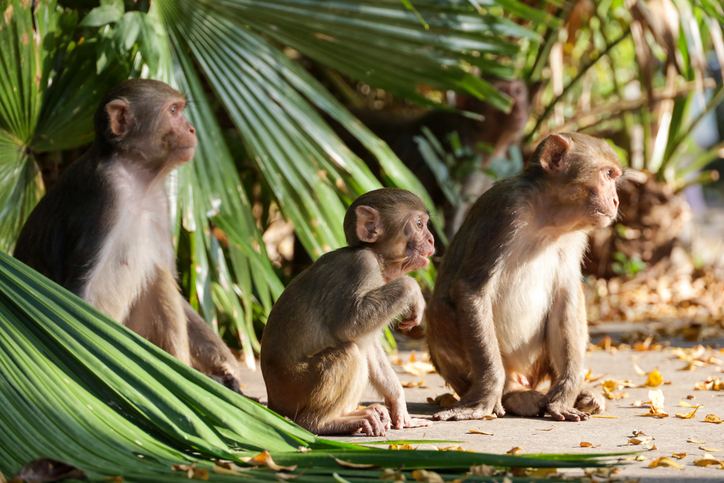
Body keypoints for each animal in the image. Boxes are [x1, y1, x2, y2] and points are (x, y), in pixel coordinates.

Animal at [14, 79, 245, 393]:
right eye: (174, 111)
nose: (192, 129)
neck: (138, 180)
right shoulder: (105, 195)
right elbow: (76, 293)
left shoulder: (161, 203)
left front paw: (225, 368)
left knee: (158, 277)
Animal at [260, 188, 435, 436]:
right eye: (419, 224)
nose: (431, 240)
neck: (377, 256)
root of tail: (274, 405)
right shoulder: (363, 266)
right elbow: (349, 325)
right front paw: (411, 288)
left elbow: (369, 346)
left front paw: (400, 408)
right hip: (297, 386)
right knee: (349, 351)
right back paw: (324, 423)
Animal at [425, 133, 621, 421]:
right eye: (607, 174)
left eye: (615, 177)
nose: (616, 200)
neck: (548, 221)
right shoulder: (505, 211)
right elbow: (471, 291)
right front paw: (485, 397)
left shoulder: (576, 237)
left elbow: (565, 301)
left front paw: (565, 396)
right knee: (438, 310)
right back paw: (513, 394)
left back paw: (581, 393)